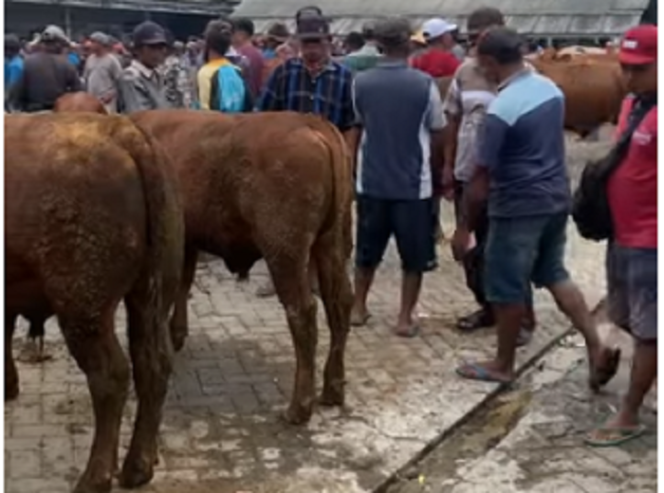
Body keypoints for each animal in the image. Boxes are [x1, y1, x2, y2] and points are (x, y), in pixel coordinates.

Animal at [5, 112, 184, 492]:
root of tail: (127, 134)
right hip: (149, 298)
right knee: (152, 364)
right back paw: (138, 466)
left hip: (82, 309)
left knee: (110, 376)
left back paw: (95, 477)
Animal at [132, 109, 356, 424]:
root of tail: (311, 123)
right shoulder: (189, 241)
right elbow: (183, 285)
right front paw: (176, 334)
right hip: (330, 245)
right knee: (339, 304)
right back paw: (332, 390)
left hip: (285, 254)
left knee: (302, 313)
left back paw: (298, 408)